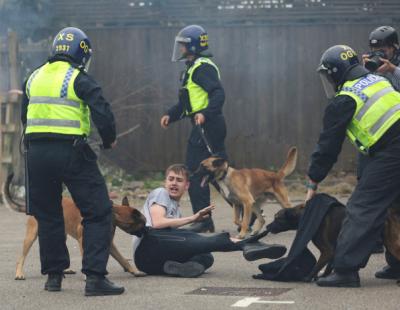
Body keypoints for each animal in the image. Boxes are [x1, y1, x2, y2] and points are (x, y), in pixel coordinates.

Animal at [3, 173, 147, 280]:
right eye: (143, 223)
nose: (148, 230)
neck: (111, 213)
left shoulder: (109, 244)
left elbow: (123, 260)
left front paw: (135, 271)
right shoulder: (84, 240)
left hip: (60, 235)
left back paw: (64, 269)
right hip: (31, 236)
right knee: (21, 258)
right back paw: (19, 273)